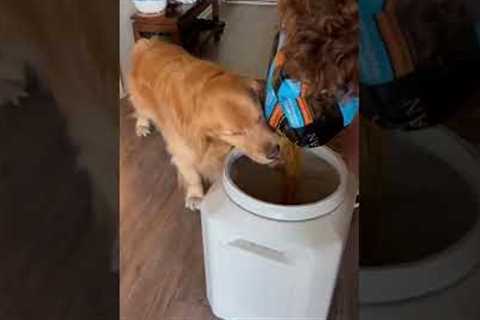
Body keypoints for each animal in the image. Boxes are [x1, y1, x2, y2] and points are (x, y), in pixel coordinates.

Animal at [129, 38, 282, 210]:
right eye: (235, 133)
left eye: (260, 117)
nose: (274, 152)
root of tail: (148, 42)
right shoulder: (183, 150)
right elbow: (192, 175)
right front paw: (195, 195)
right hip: (142, 101)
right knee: (140, 110)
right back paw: (142, 125)